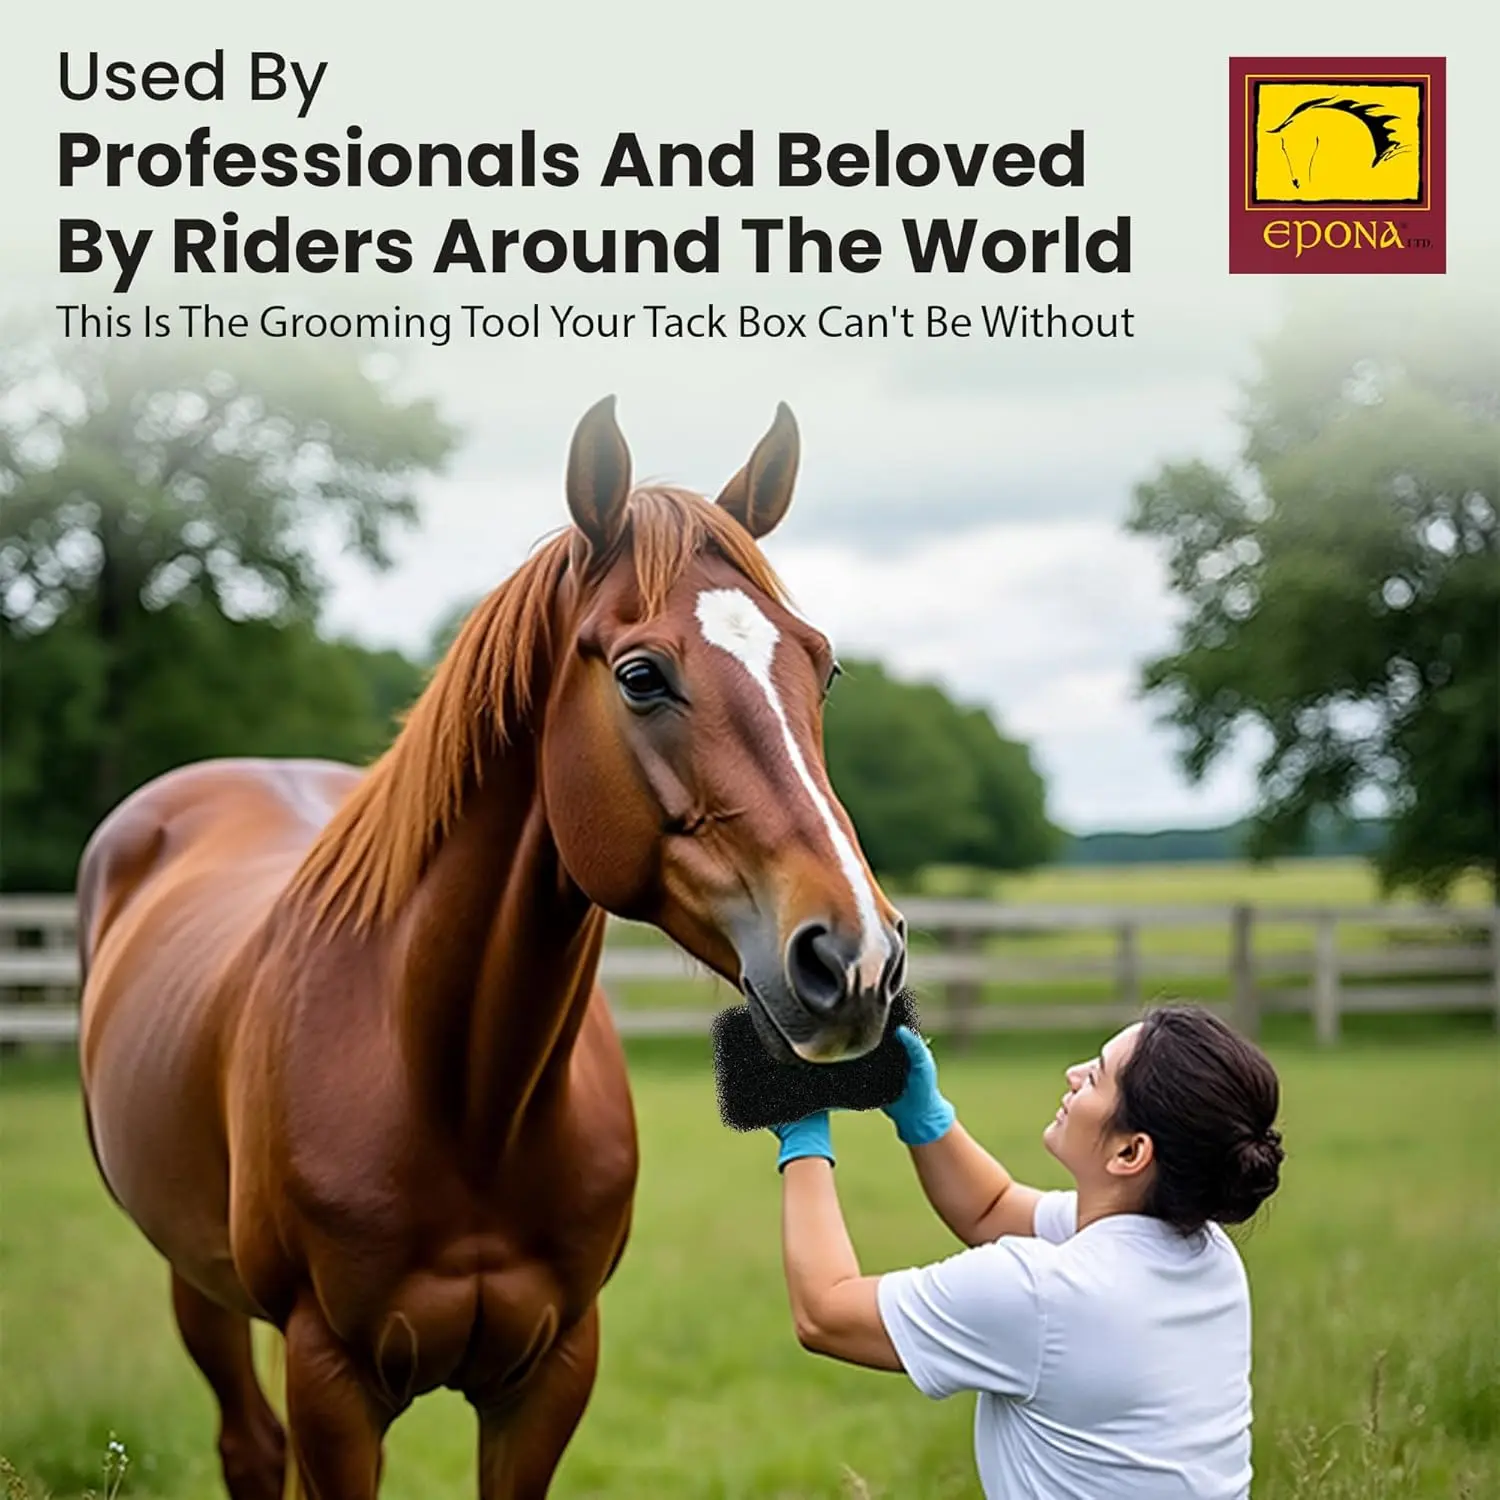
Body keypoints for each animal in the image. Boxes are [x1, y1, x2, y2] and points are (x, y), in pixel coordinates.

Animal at [75, 397, 908, 1500]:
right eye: (641, 676)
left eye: (824, 667)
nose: (855, 958)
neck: (461, 1097)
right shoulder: (333, 1382)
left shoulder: (549, 1374)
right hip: (195, 1280)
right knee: (249, 1446)